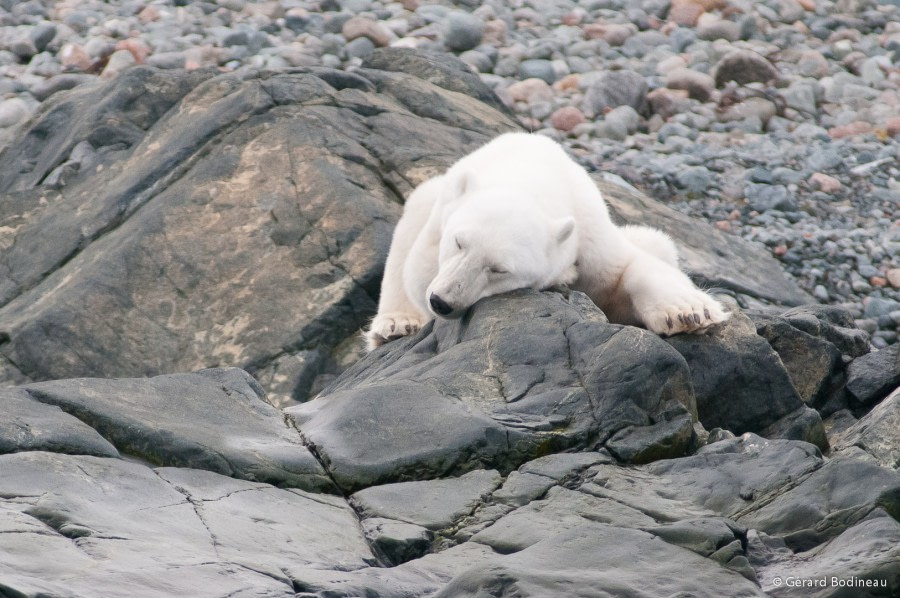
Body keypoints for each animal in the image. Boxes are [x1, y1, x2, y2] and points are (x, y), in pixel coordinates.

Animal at [366, 135, 732, 352]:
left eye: (498, 269)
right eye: (458, 242)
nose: (442, 302)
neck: (530, 175)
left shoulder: (588, 228)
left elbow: (626, 269)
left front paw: (689, 312)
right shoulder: (436, 232)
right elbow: (415, 275)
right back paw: (395, 324)